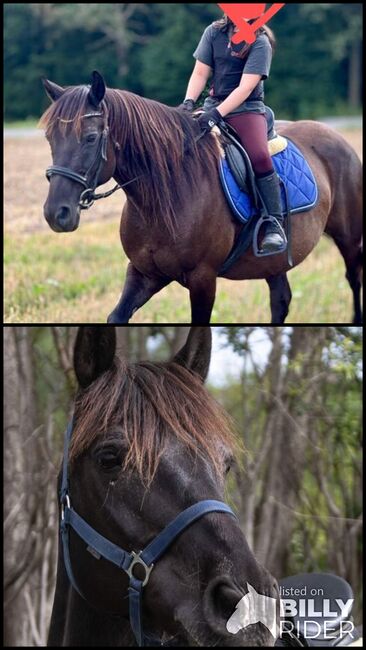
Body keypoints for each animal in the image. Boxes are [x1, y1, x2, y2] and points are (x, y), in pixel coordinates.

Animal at [40, 71, 364, 324]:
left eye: (90, 138)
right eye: (50, 139)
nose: (57, 213)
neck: (165, 197)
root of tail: (336, 137)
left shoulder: (203, 279)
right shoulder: (145, 272)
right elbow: (116, 316)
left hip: (348, 237)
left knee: (353, 278)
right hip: (274, 262)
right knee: (281, 301)